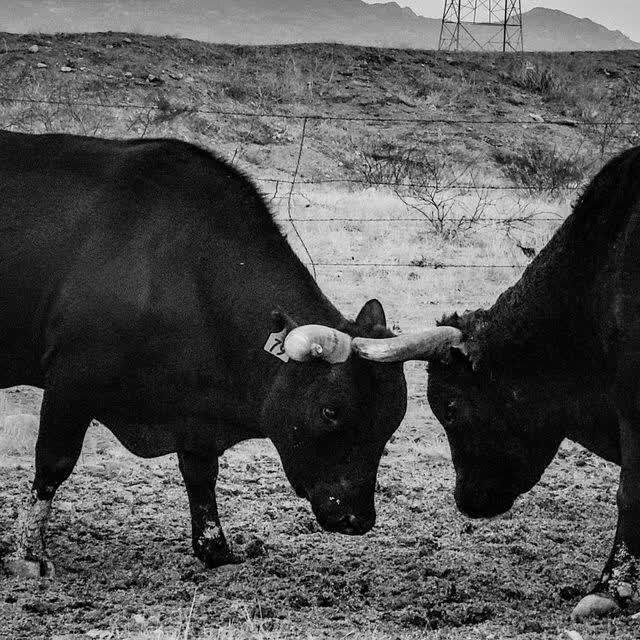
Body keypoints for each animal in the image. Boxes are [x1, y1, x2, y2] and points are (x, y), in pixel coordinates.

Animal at [0, 130, 408, 578]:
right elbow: (53, 464)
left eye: (392, 420)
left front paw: (216, 550)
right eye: (330, 411)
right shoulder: (71, 380)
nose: (357, 518)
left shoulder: (195, 413)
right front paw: (29, 555)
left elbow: (200, 475)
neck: (181, 272)